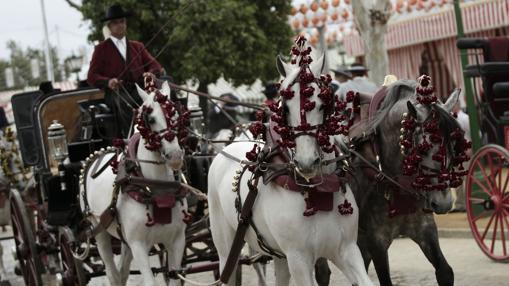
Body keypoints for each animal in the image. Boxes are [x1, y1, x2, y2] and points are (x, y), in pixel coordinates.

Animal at [81, 81, 187, 286]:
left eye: (176, 116)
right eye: (151, 119)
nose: (175, 156)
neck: (156, 189)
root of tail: (96, 156)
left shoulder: (177, 241)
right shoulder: (138, 246)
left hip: (125, 240)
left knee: (122, 272)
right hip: (99, 231)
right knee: (113, 273)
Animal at [206, 41, 374, 284]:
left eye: (323, 104)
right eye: (285, 107)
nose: (306, 162)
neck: (315, 188)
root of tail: (225, 149)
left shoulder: (347, 250)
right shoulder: (299, 259)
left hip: (279, 255)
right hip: (226, 247)